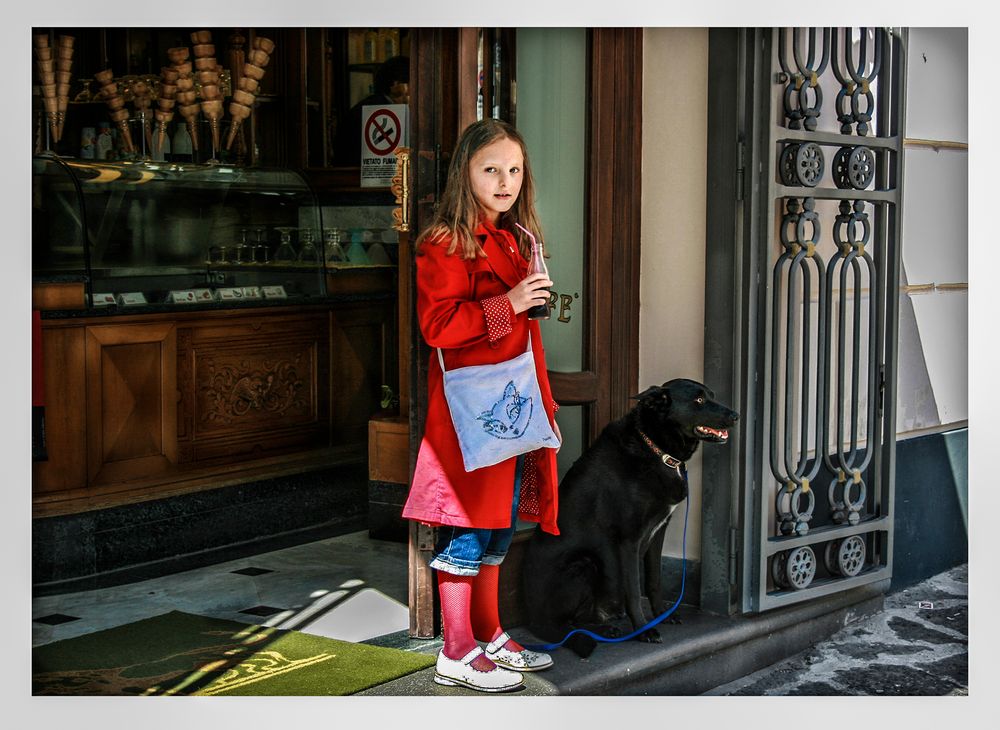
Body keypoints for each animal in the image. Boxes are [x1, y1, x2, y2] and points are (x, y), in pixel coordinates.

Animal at [520, 378, 740, 656]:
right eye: (699, 400)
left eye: (711, 395)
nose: (736, 416)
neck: (656, 449)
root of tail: (534, 618)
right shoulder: (629, 540)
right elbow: (634, 590)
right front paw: (645, 630)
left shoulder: (658, 531)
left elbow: (654, 580)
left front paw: (662, 614)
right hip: (584, 564)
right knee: (568, 624)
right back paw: (604, 631)